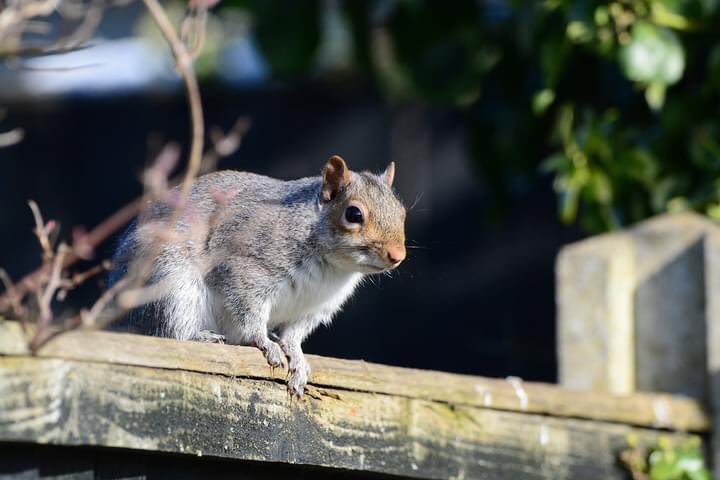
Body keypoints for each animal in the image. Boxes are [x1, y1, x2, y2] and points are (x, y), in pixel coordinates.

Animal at [110, 155, 406, 397]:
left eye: (401, 212)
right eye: (353, 213)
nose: (398, 255)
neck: (332, 268)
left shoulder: (313, 308)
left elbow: (293, 334)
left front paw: (297, 357)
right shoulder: (246, 268)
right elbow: (249, 312)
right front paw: (264, 342)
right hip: (168, 281)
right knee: (169, 331)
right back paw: (201, 337)